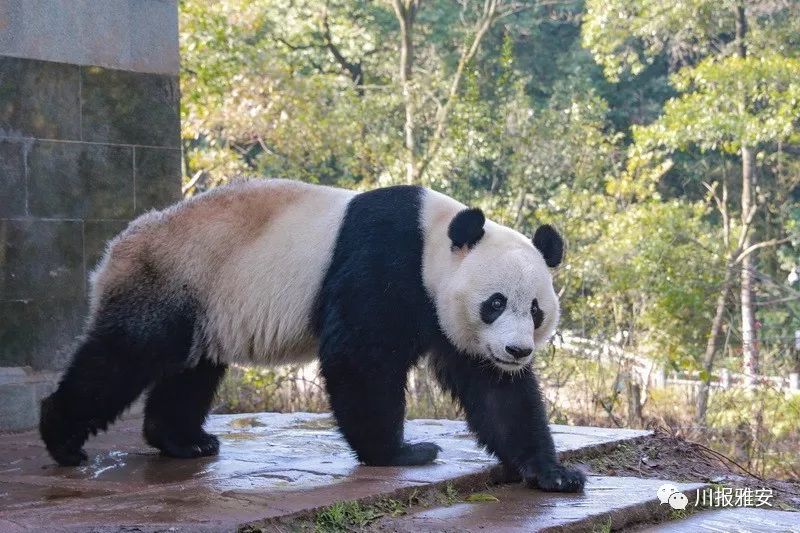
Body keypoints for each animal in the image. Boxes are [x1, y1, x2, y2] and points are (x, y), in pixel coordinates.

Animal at [39, 180, 588, 494]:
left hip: (205, 300)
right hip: (170, 277)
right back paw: (63, 439)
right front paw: (401, 452)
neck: (433, 239)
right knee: (125, 356)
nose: (517, 350)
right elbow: (360, 358)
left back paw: (183, 441)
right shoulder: (384, 262)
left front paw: (552, 473)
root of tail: (114, 250)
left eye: (535, 310)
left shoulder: (447, 315)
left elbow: (497, 394)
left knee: (189, 369)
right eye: (494, 303)